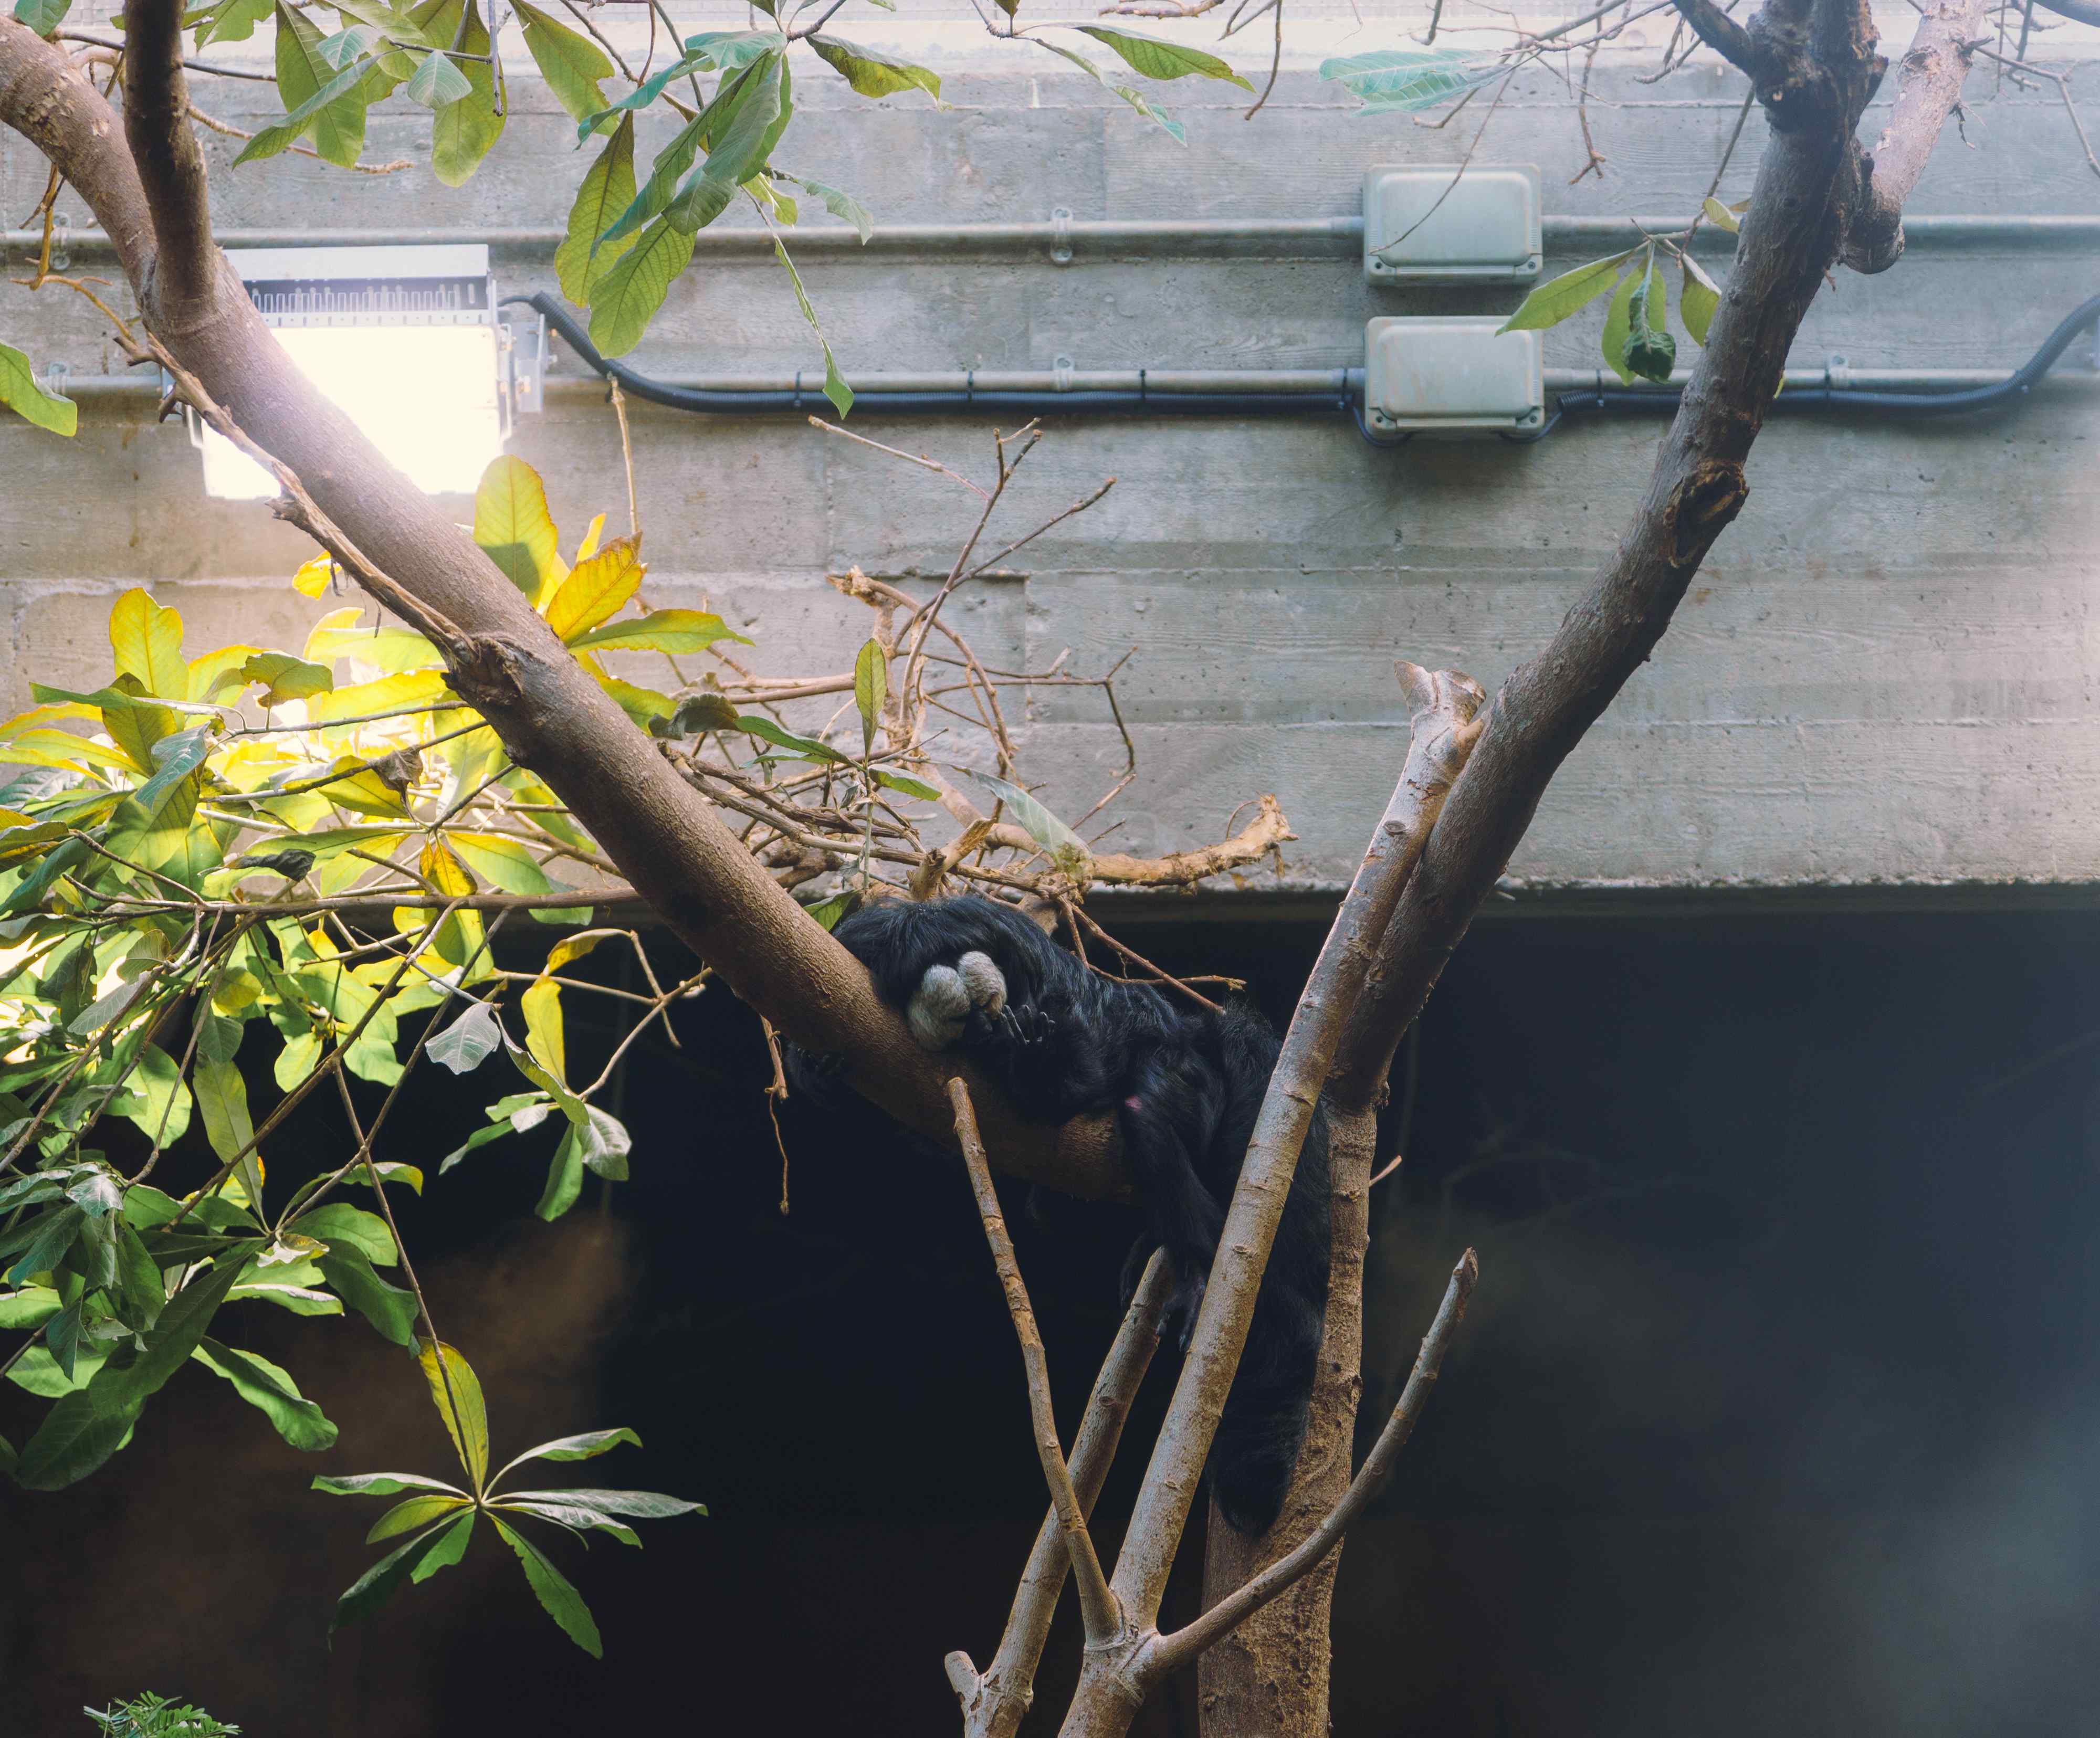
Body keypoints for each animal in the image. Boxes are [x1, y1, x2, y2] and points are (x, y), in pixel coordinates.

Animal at [789, 893, 1330, 1537]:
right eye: (965, 1025)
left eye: (982, 1016)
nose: (987, 1029)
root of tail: (1198, 1029)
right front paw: (816, 1066)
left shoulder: (1035, 978)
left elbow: (1073, 1082)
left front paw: (1033, 1059)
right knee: (1053, 1209)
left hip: (1190, 1073)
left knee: (1147, 1111)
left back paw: (1200, 1268)